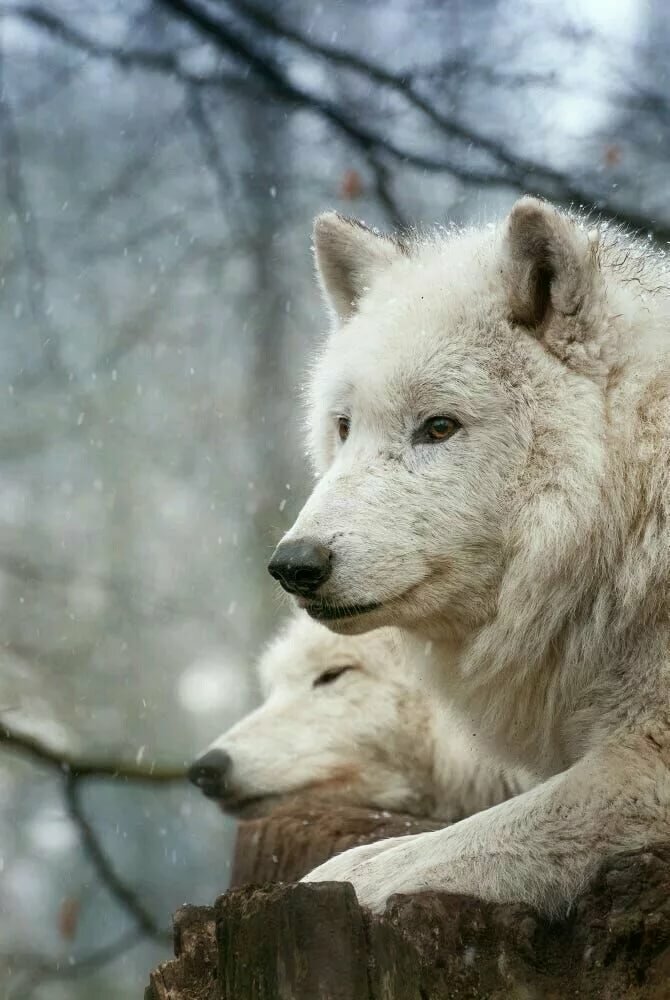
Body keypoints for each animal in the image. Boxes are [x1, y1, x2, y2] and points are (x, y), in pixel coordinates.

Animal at [268, 197, 670, 915]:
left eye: (439, 427)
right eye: (344, 427)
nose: (294, 566)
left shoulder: (643, 762)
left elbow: (435, 848)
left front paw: (332, 882)